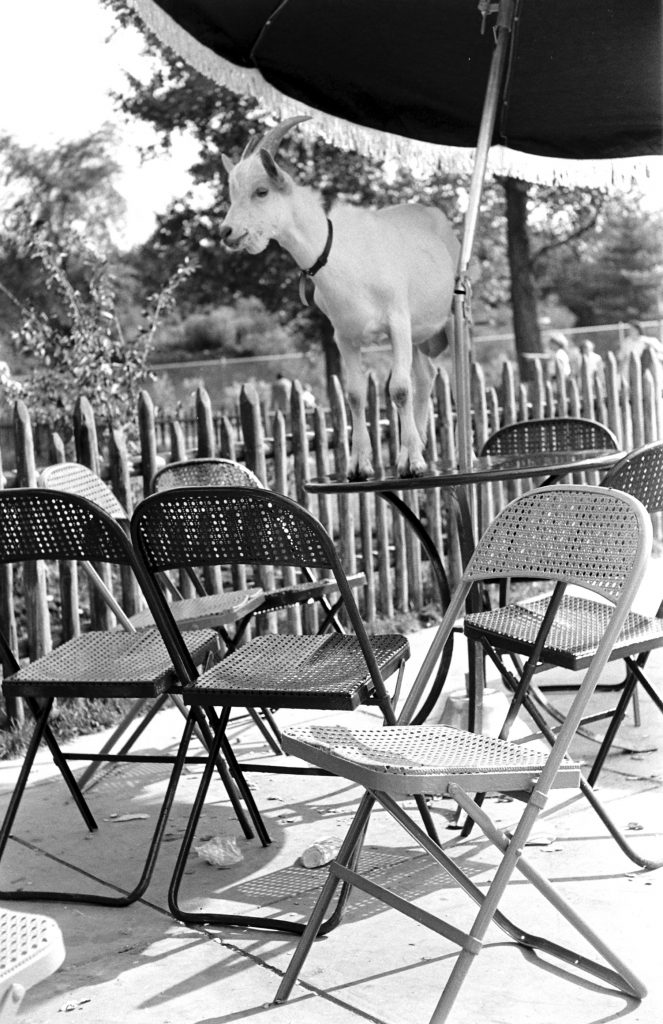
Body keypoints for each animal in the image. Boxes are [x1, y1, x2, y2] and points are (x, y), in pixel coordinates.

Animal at [220, 117, 459, 477]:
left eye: (261, 191)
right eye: (232, 193)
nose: (227, 232)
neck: (344, 257)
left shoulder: (397, 322)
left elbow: (399, 389)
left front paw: (414, 465)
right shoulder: (345, 335)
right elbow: (356, 395)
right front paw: (360, 465)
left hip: (452, 315)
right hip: (418, 336)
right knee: (426, 376)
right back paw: (413, 448)